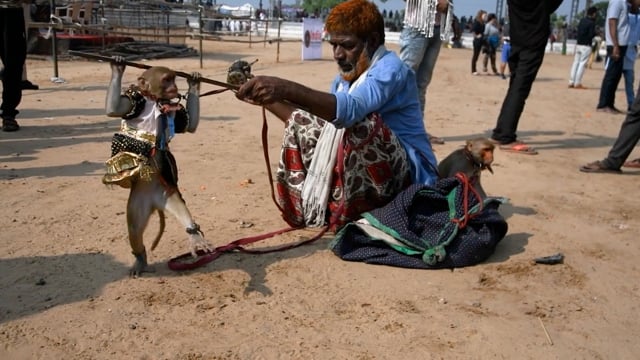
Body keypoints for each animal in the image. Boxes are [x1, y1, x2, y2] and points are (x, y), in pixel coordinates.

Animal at [102, 57, 212, 276]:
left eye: (174, 79)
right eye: (166, 80)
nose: (174, 87)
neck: (156, 101)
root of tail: (155, 203)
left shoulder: (174, 110)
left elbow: (189, 125)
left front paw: (194, 82)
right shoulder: (135, 101)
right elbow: (115, 108)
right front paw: (117, 66)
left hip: (167, 193)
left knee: (181, 210)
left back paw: (194, 235)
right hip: (140, 201)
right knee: (135, 229)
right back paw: (140, 259)